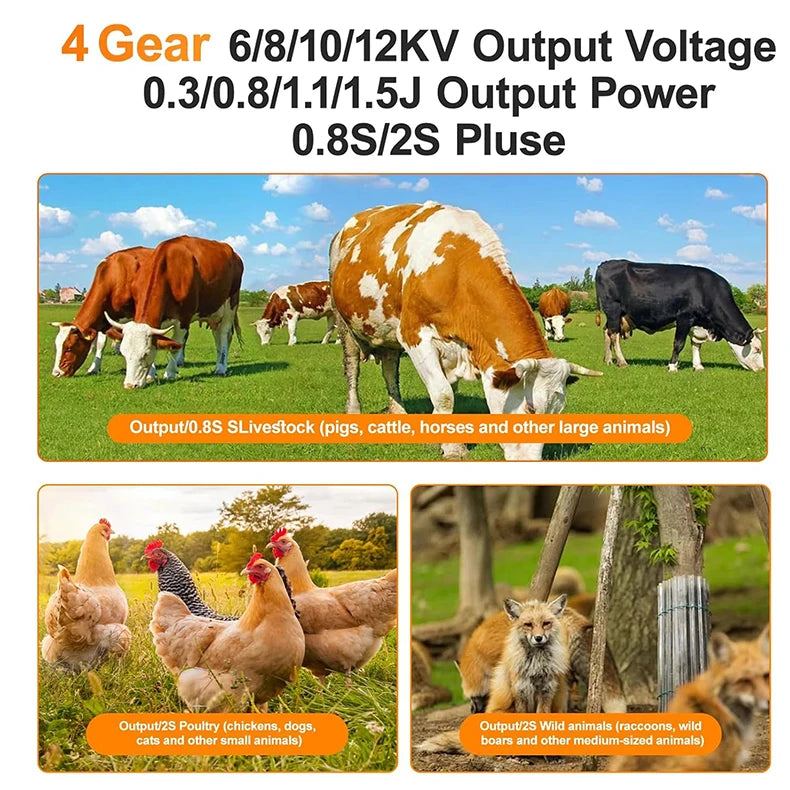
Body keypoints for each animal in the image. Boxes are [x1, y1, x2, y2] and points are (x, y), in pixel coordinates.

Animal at [51, 246, 151, 377]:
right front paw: (94, 368)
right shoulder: (104, 318)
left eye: (69, 347)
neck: (116, 275)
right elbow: (100, 343)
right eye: (57, 346)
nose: (56, 373)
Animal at [104, 236, 243, 389]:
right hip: (213, 313)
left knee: (224, 334)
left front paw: (169, 373)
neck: (167, 271)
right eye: (123, 352)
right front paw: (151, 375)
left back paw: (221, 367)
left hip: (231, 304)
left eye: (145, 354)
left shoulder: (184, 318)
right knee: (217, 335)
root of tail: (233, 253)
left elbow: (176, 346)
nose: (130, 385)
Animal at [330, 202, 602, 460]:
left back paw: (399, 413)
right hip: (344, 321)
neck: (456, 271)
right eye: (530, 409)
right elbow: (444, 395)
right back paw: (353, 411)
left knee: (389, 369)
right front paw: (454, 449)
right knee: (352, 367)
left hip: (386, 332)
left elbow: (447, 393)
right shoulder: (414, 335)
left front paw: (437, 440)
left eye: (557, 413)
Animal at [594, 259, 766, 372]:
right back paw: (622, 362)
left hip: (615, 314)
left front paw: (698, 366)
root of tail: (604, 263)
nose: (762, 369)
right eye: (757, 349)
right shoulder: (684, 317)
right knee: (614, 334)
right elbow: (679, 343)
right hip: (613, 308)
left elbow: (696, 344)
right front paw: (672, 366)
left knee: (607, 332)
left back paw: (608, 360)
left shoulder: (697, 323)